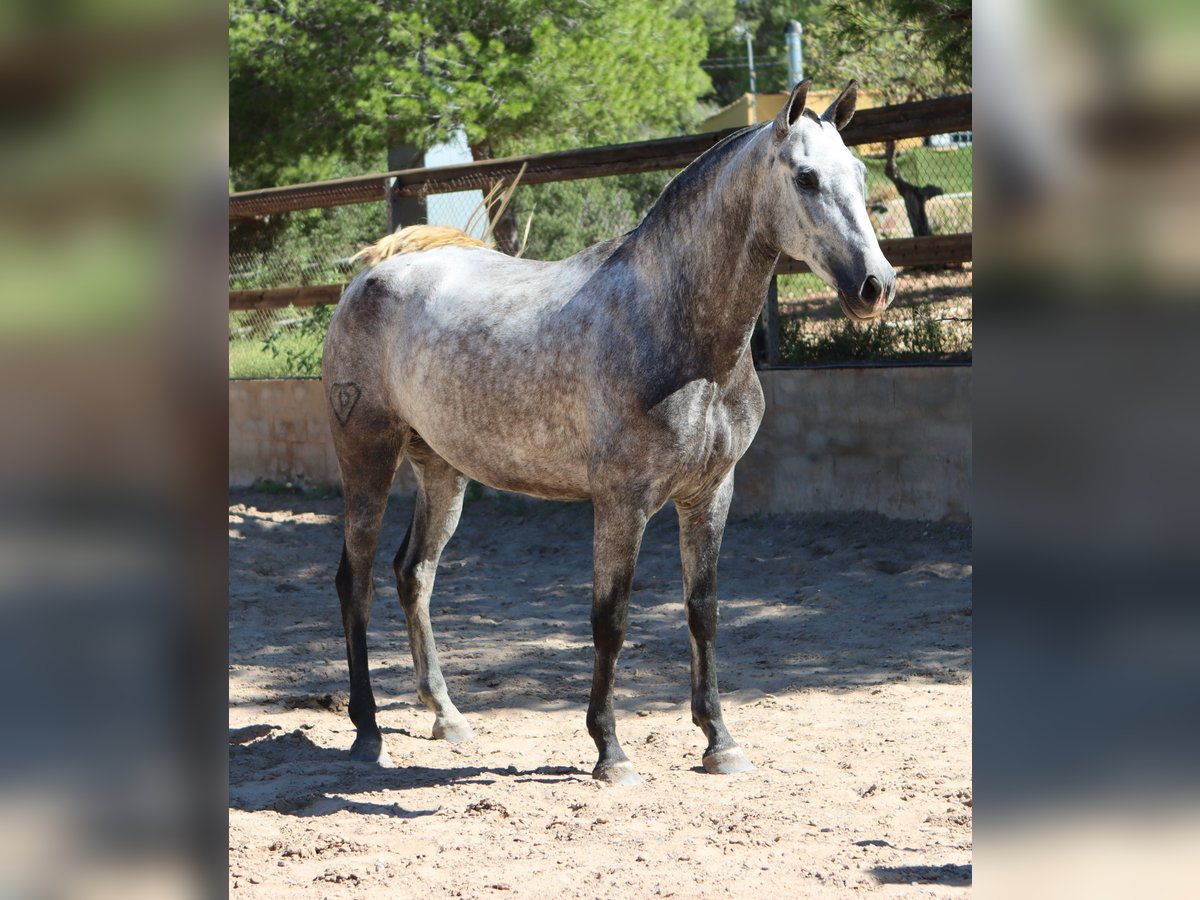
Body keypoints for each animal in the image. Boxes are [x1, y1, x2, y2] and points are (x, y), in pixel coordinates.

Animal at [319, 79, 892, 782]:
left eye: (860, 174)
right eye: (806, 177)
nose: (875, 286)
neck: (676, 328)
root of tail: (370, 275)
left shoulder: (710, 494)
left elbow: (703, 612)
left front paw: (719, 742)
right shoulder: (622, 501)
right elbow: (610, 619)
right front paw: (610, 750)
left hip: (442, 470)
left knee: (414, 574)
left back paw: (446, 716)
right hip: (366, 456)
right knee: (358, 580)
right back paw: (367, 731)